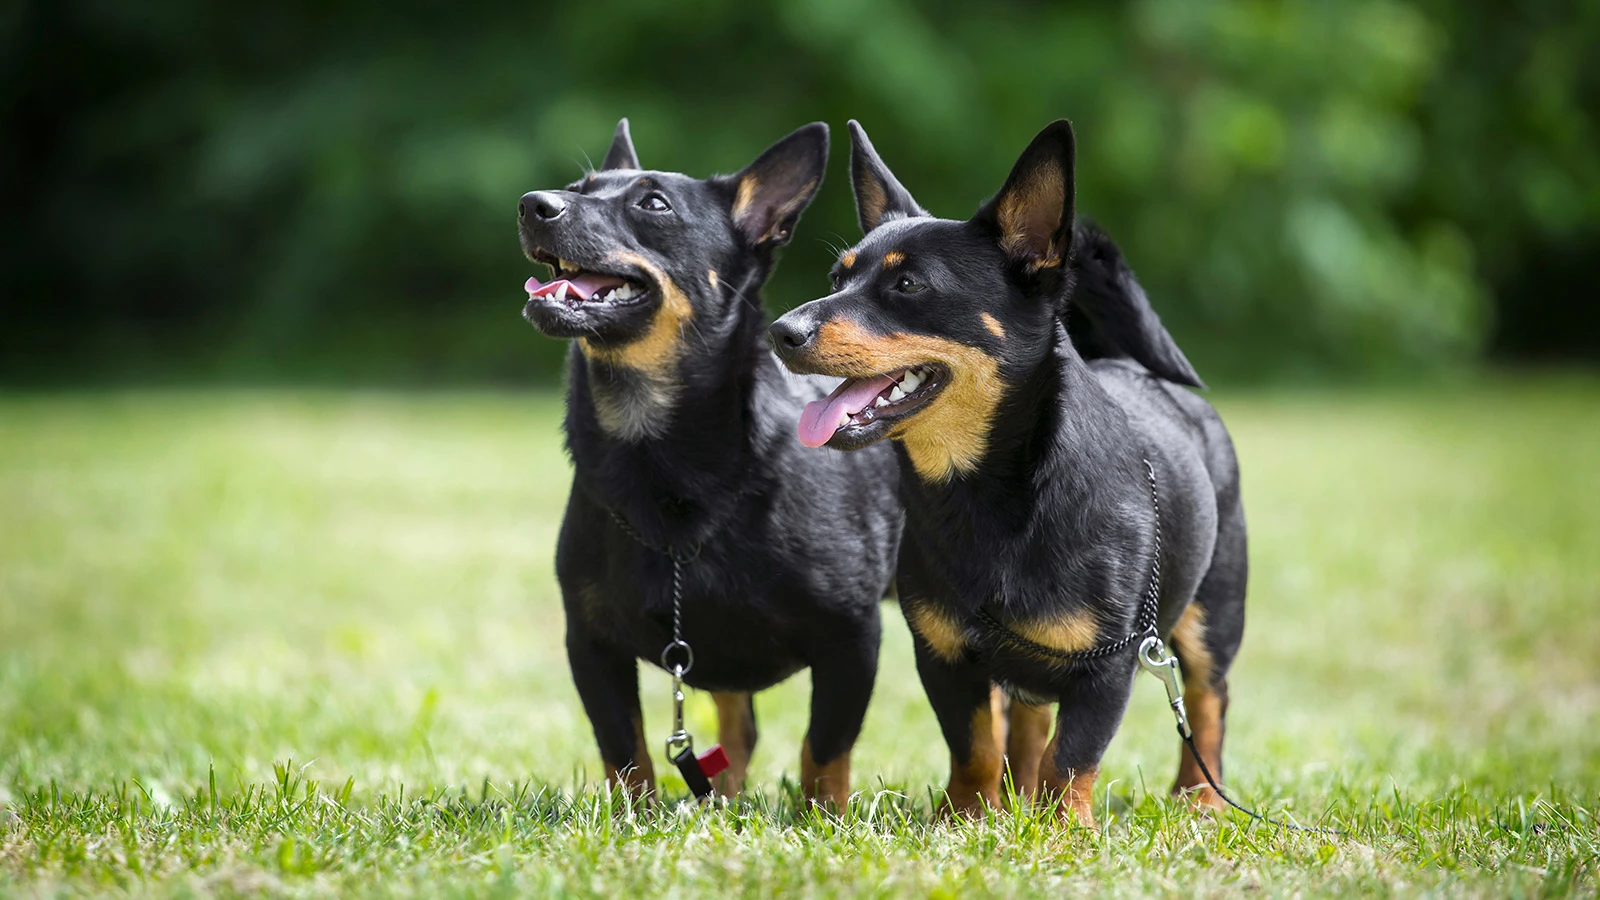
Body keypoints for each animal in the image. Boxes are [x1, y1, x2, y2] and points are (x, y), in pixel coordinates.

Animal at [518, 120, 908, 807]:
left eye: (652, 204)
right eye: (577, 187)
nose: (533, 205)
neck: (658, 449)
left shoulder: (851, 639)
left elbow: (824, 752)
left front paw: (823, 817)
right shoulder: (590, 644)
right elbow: (626, 752)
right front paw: (635, 818)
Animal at [764, 120, 1248, 826]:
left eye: (909, 286)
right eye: (836, 276)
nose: (781, 331)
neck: (986, 495)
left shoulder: (1109, 668)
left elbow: (1070, 761)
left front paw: (1062, 832)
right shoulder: (945, 656)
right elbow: (974, 748)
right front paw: (965, 820)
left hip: (1213, 614)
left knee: (1209, 702)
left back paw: (1200, 798)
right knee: (1025, 723)